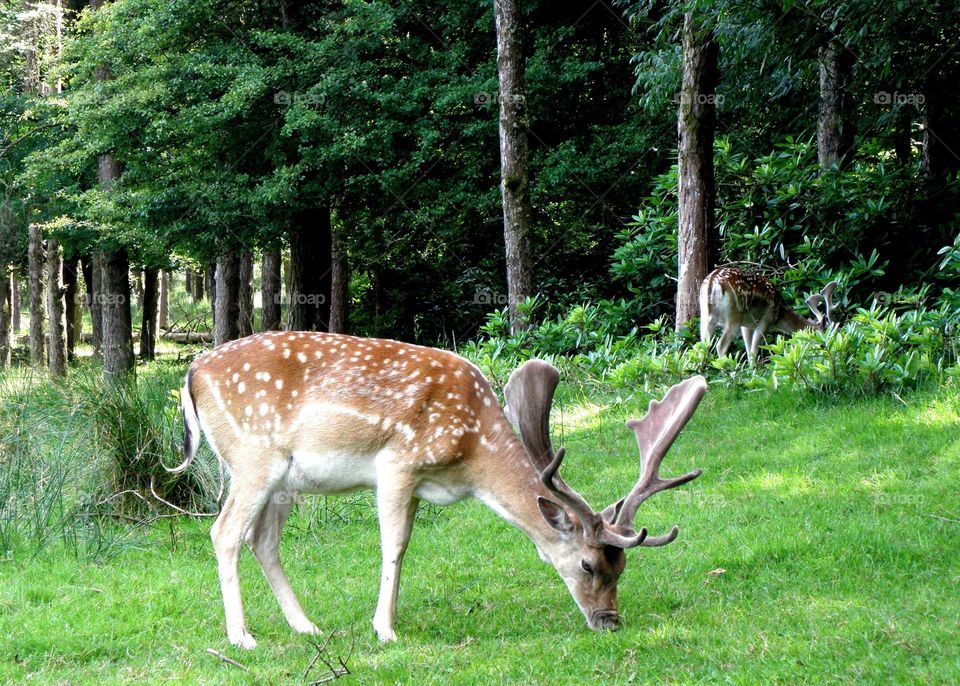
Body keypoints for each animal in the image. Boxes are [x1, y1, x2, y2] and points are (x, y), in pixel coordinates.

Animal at [169, 331, 707, 648]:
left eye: (623, 567)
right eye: (588, 565)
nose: (610, 621)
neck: (470, 456)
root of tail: (192, 372)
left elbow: (404, 544)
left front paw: (385, 622)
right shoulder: (397, 463)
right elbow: (395, 545)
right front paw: (385, 630)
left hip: (285, 480)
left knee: (262, 540)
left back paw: (307, 626)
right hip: (254, 458)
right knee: (224, 532)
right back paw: (242, 638)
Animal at [699, 267, 838, 366]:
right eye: (822, 342)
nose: (828, 355)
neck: (780, 314)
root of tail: (712, 283)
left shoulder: (747, 325)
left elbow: (748, 349)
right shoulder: (767, 319)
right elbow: (753, 350)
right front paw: (753, 373)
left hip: (706, 316)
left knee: (702, 345)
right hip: (734, 316)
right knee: (720, 346)